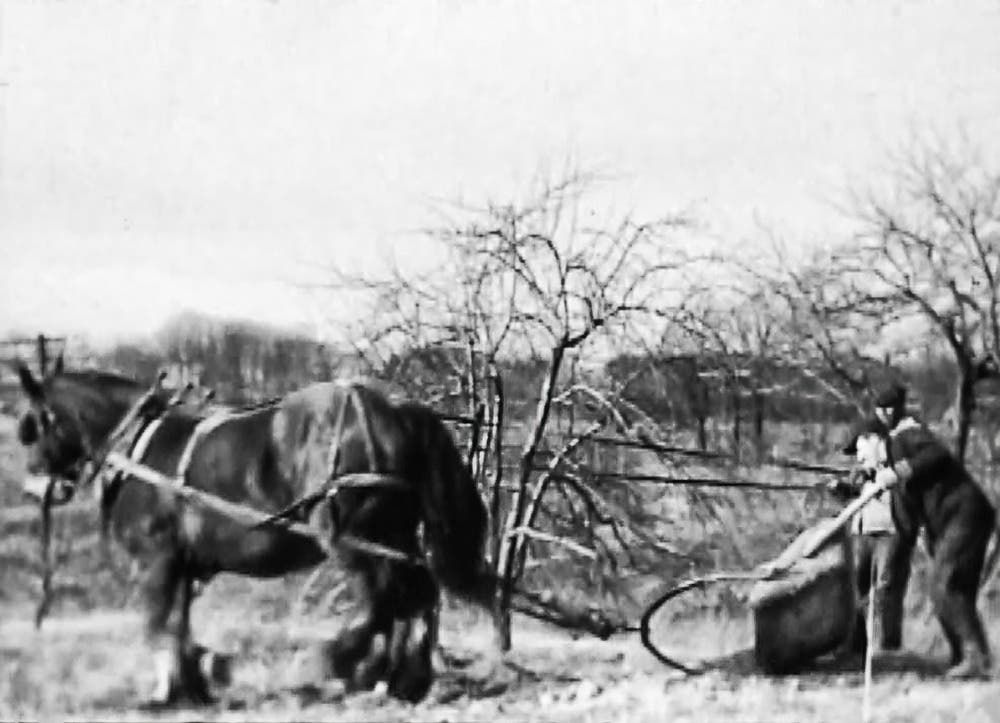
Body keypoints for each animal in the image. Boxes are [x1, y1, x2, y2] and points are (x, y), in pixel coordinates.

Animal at [13, 360, 498, 708]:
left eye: (34, 423)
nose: (34, 485)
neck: (137, 446)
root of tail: (401, 410)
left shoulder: (157, 560)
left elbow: (156, 623)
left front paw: (169, 689)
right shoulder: (182, 564)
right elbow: (179, 623)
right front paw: (192, 683)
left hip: (351, 535)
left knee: (384, 601)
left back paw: (337, 663)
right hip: (391, 535)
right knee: (416, 596)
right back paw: (399, 680)